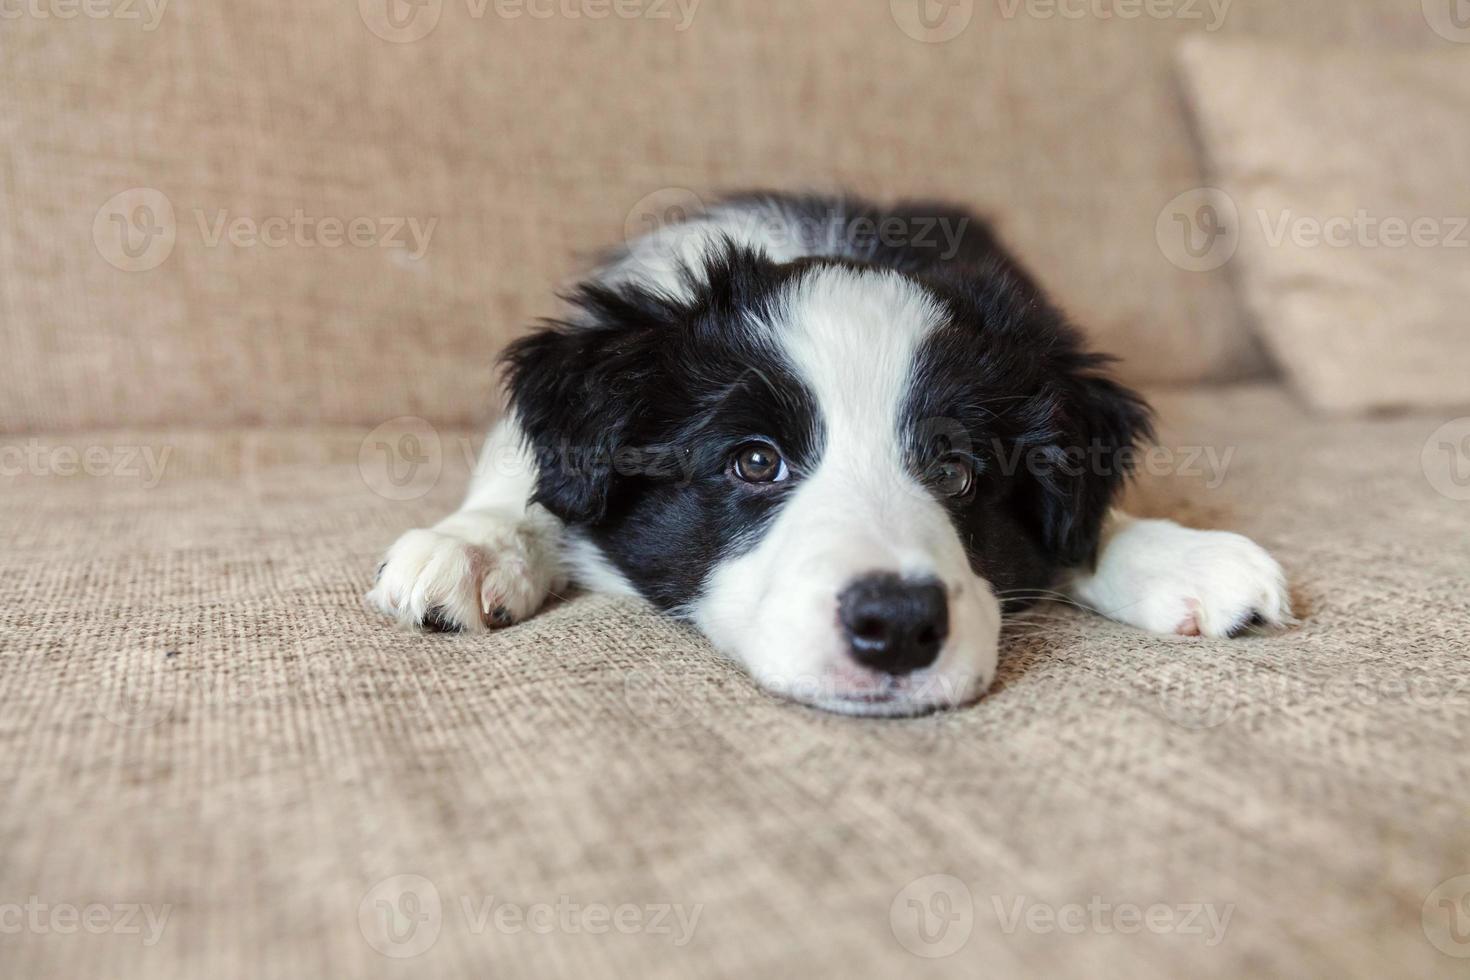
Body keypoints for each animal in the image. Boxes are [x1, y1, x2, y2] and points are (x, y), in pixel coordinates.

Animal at [367, 191, 1287, 717]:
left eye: (956, 470)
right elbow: (523, 478)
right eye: (754, 462)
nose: (899, 626)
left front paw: (1178, 556)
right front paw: (475, 546)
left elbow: (1083, 527)